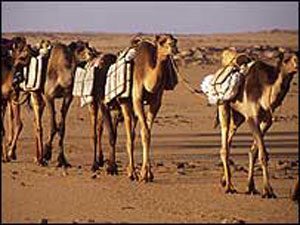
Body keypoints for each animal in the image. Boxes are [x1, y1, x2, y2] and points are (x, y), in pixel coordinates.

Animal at [115, 33, 179, 181]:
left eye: (174, 40)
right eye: (162, 41)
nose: (173, 46)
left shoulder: (156, 102)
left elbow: (148, 133)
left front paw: (148, 173)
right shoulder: (137, 98)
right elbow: (144, 132)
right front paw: (143, 174)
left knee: (134, 130)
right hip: (125, 101)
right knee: (129, 133)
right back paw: (131, 173)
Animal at [216, 48, 298, 197]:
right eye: (286, 60)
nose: (297, 64)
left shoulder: (267, 121)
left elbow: (254, 151)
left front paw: (251, 187)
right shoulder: (252, 118)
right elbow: (263, 154)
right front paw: (268, 191)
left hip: (238, 116)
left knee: (230, 135)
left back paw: (224, 180)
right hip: (223, 105)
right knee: (225, 142)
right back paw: (229, 187)